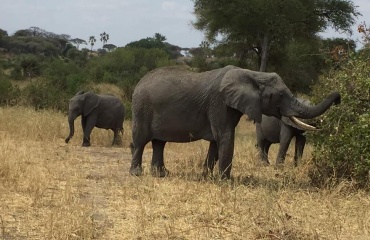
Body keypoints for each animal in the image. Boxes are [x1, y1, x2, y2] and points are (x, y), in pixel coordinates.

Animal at [129, 65, 342, 178]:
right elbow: (224, 136)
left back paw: (161, 174)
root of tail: (138, 83)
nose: (339, 98)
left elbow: (216, 142)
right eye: (280, 95)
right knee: (140, 141)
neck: (252, 74)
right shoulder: (219, 103)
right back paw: (137, 174)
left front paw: (207, 177)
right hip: (141, 108)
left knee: (159, 142)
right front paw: (225, 180)